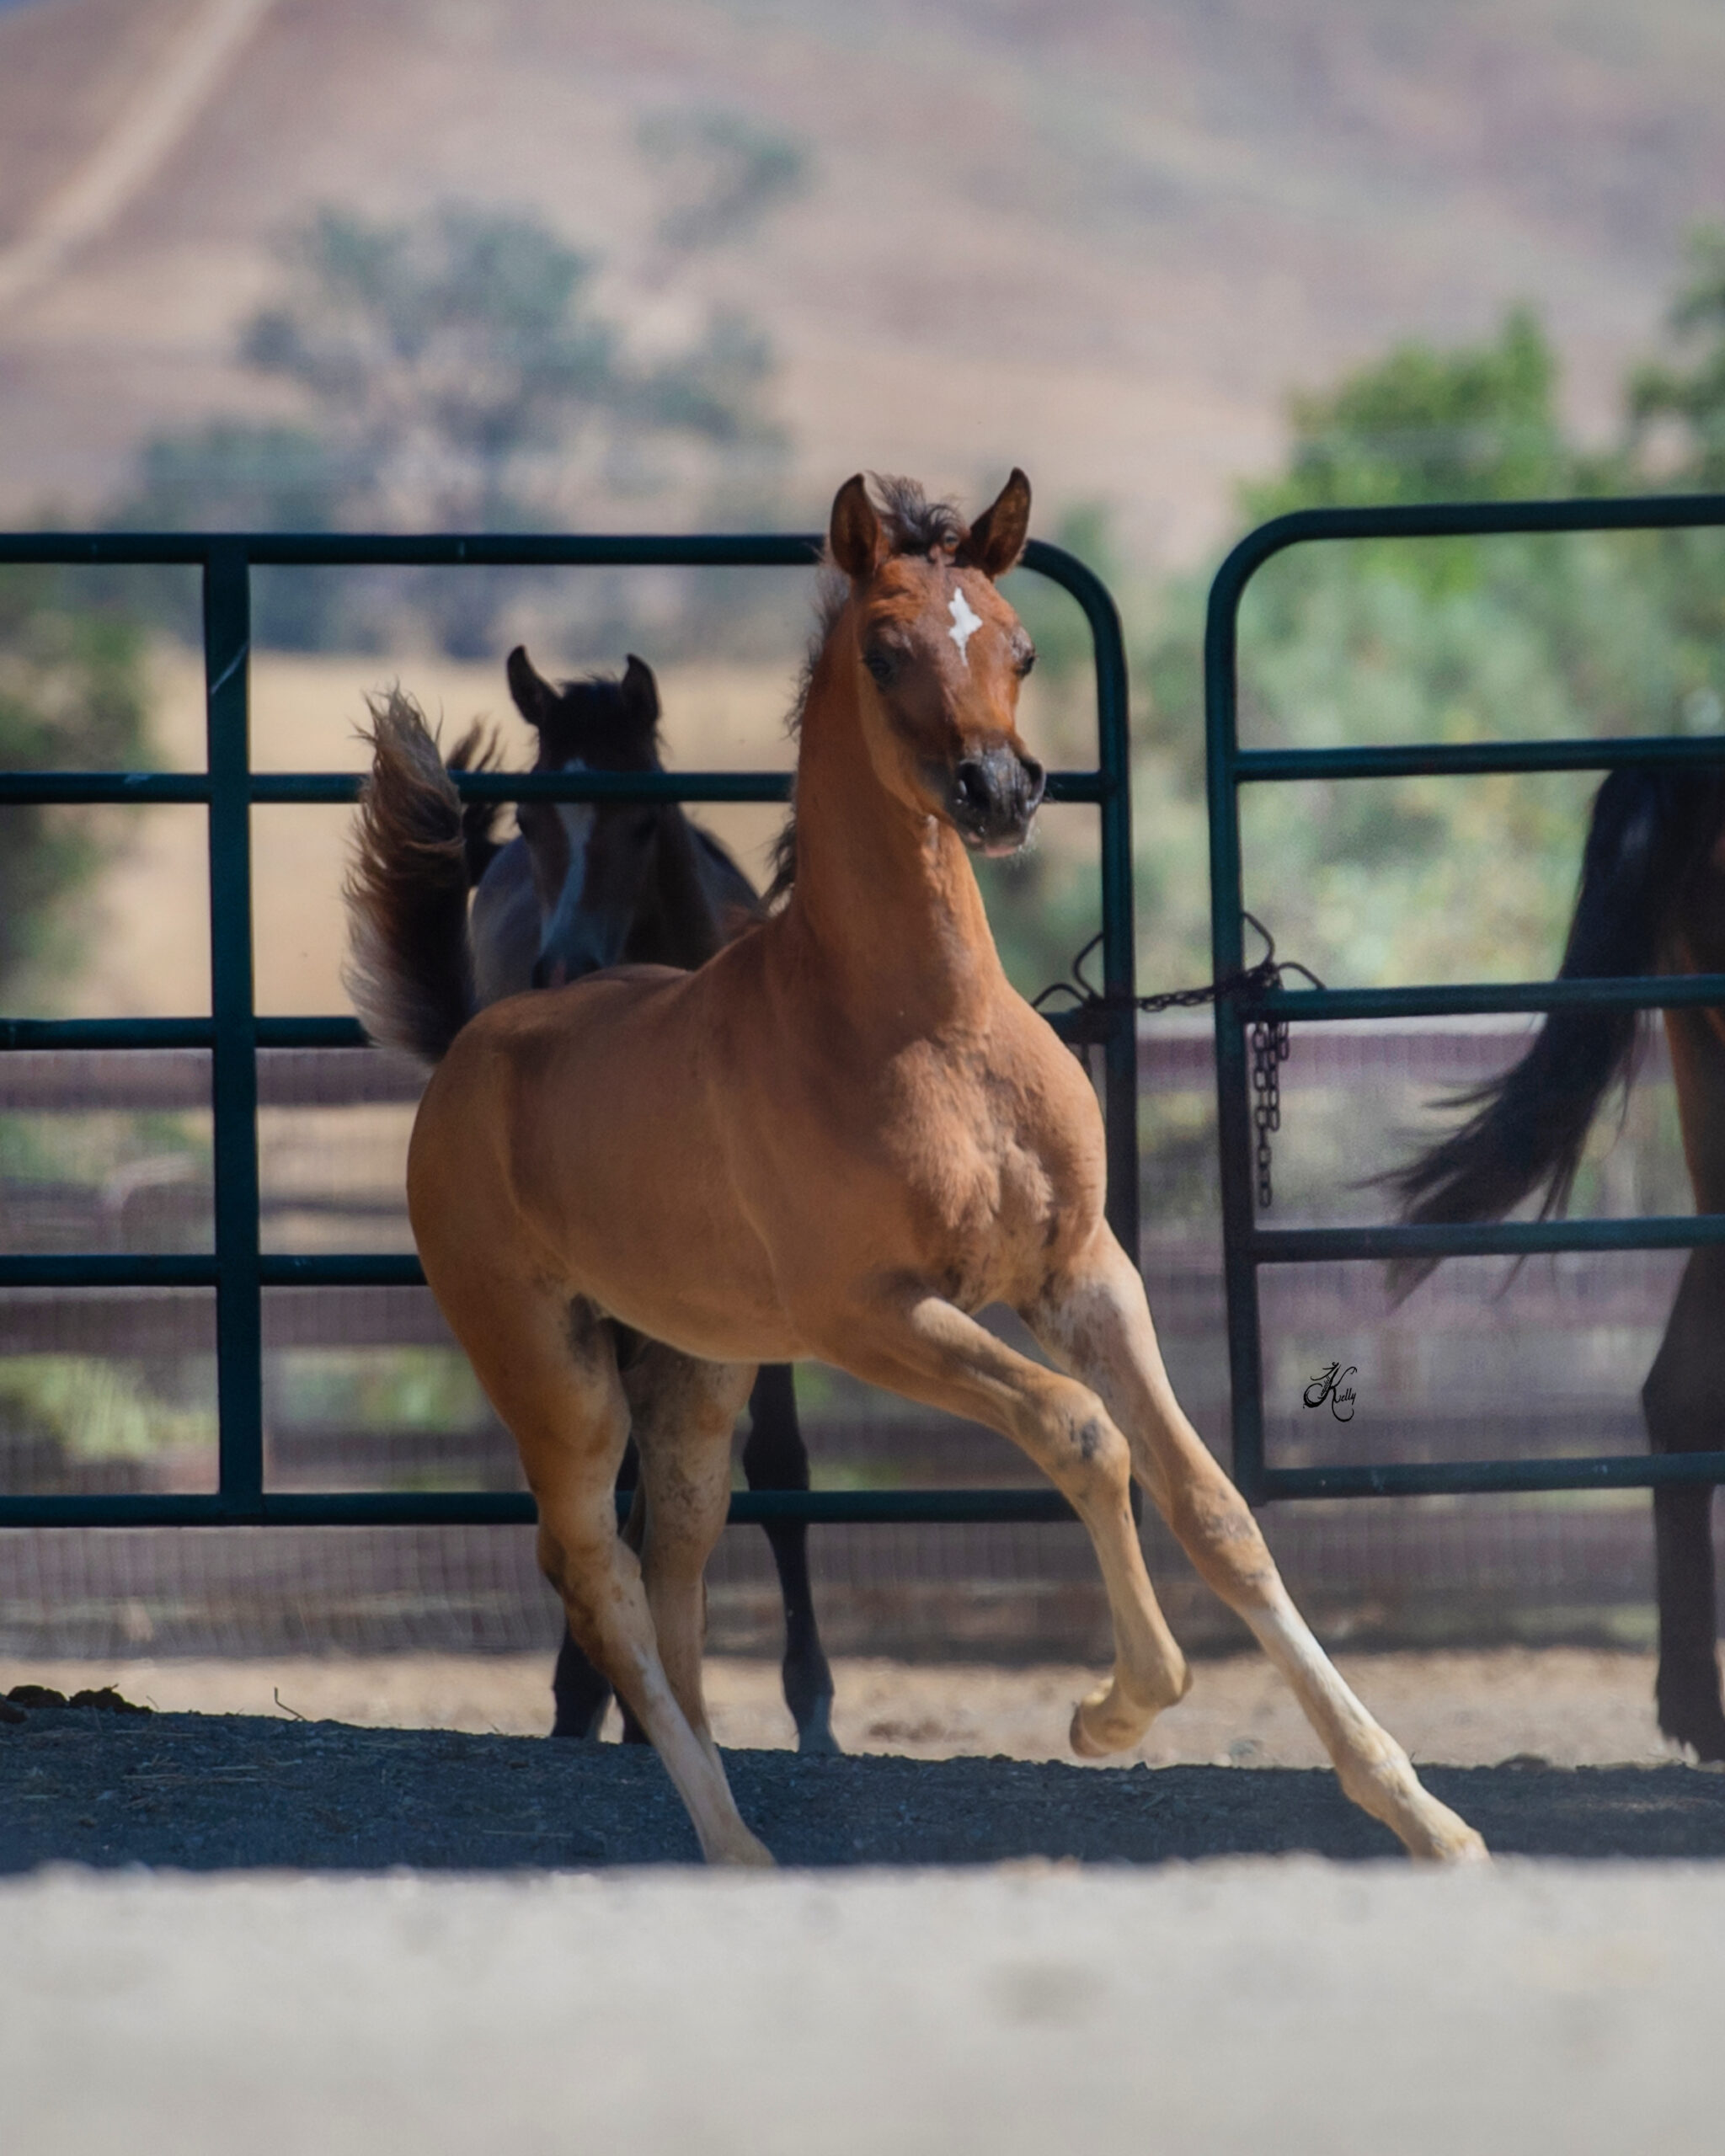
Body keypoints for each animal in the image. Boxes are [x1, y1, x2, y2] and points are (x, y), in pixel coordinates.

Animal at [345, 649, 837, 1754]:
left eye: (642, 818)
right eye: (531, 818)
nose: (564, 965)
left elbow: (776, 1465)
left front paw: (813, 1710)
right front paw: (593, 1697)